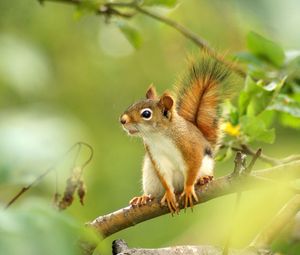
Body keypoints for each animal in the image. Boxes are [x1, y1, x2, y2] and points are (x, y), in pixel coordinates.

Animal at [119, 52, 232, 214]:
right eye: (133, 104)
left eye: (146, 114)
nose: (122, 120)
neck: (158, 136)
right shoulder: (156, 156)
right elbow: (165, 177)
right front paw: (169, 194)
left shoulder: (191, 148)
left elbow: (192, 168)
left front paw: (189, 188)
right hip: (150, 176)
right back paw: (144, 198)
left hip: (205, 165)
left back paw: (203, 179)